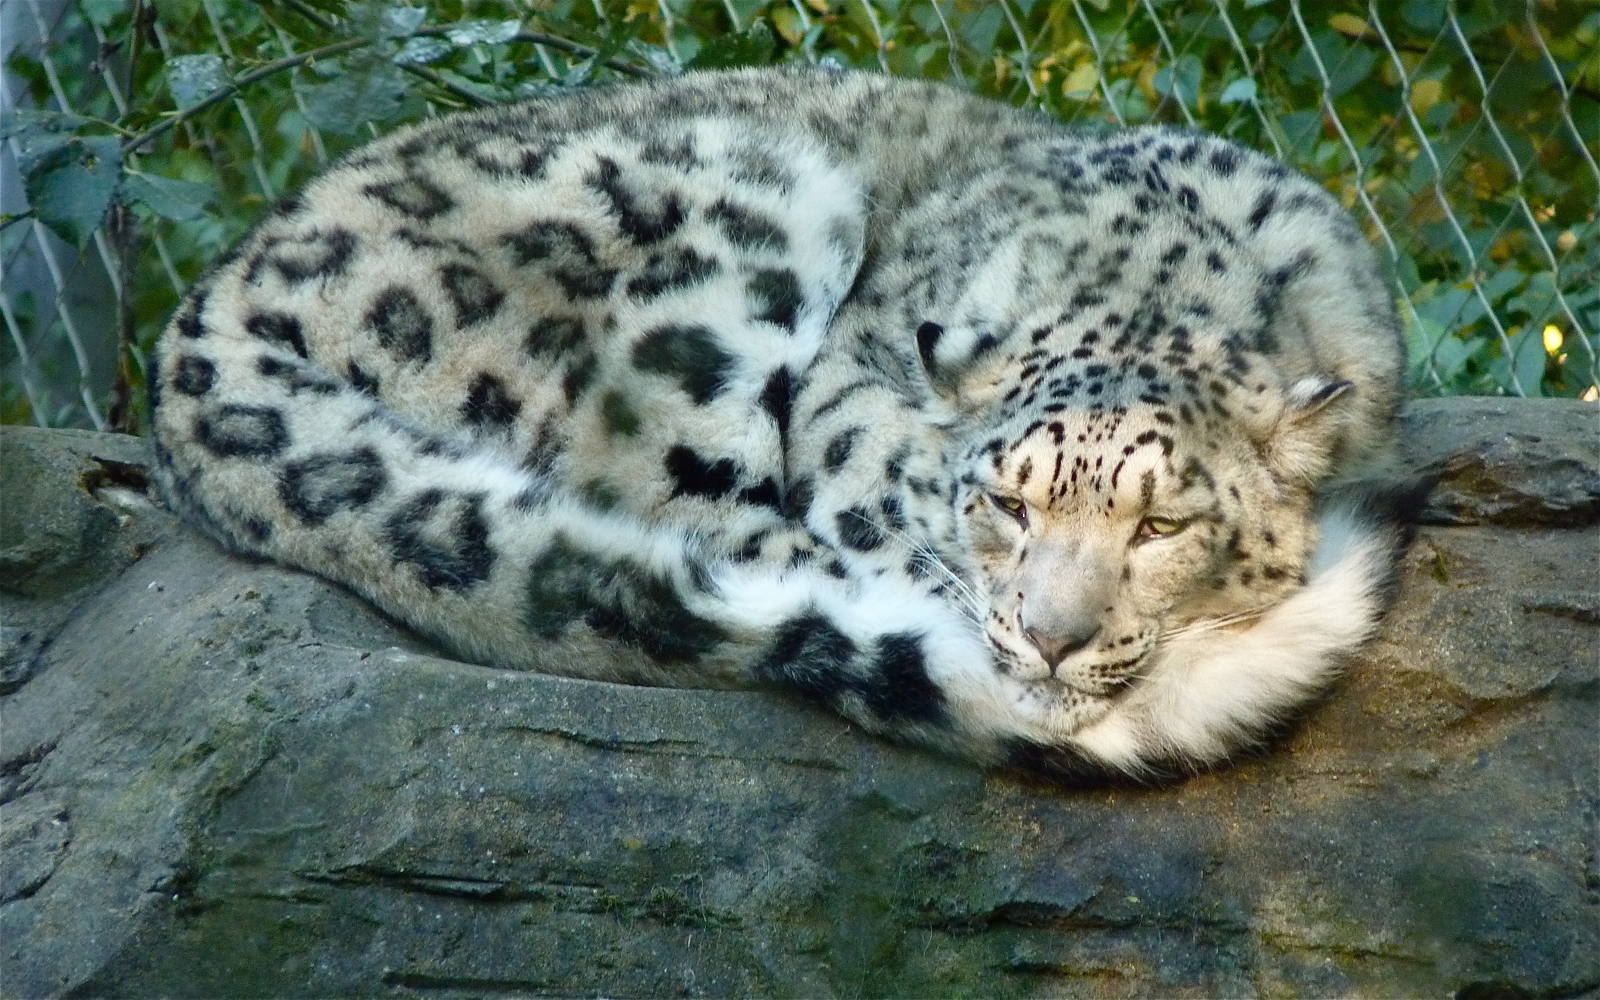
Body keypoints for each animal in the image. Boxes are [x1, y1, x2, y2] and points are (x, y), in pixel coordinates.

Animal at [148, 65, 1417, 782]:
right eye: (1005, 503)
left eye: (1159, 528)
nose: (1050, 636)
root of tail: (200, 315)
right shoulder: (851, 384)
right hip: (736, 222)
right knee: (689, 523)